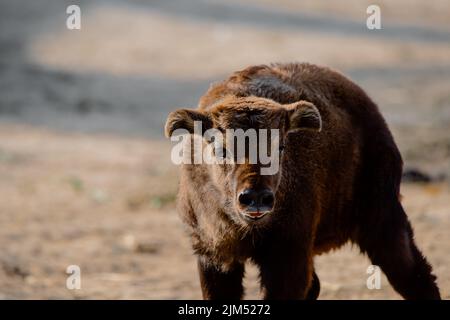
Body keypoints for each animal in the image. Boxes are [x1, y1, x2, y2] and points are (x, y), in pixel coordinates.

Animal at [163, 63, 440, 300]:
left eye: (280, 146)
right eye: (220, 148)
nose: (256, 198)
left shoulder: (288, 255)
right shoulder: (213, 256)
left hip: (384, 224)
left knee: (417, 278)